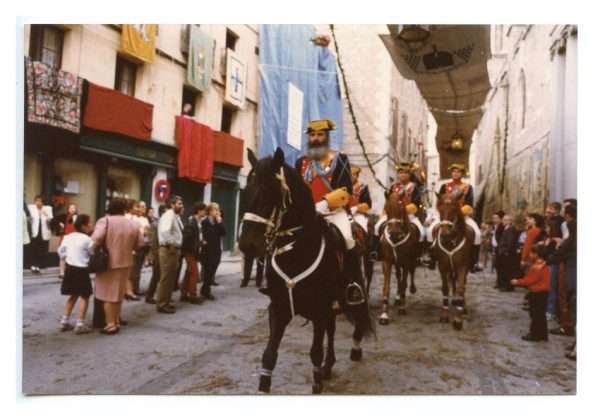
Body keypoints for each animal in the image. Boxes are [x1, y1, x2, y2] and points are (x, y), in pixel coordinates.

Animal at [238, 148, 370, 394]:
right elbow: (269, 355)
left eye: (270, 194)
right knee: (332, 328)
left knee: (357, 315)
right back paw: (329, 366)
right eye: (246, 191)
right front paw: (263, 385)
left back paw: (355, 349)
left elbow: (315, 352)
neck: (296, 252)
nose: (247, 246)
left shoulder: (319, 310)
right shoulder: (279, 308)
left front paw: (317, 382)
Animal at [378, 192, 420, 326]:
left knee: (409, 275)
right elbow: (386, 287)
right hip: (396, 263)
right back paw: (397, 298)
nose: (394, 232)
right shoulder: (387, 262)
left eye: (401, 209)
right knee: (398, 275)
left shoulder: (406, 262)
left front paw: (402, 307)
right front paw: (384, 315)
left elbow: (403, 284)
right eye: (387, 208)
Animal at [432, 191, 474, 332]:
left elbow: (461, 289)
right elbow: (445, 288)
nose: (445, 234)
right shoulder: (443, 266)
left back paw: (462, 306)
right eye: (440, 209)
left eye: (454, 209)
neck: (451, 242)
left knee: (462, 286)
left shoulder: (462, 266)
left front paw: (458, 320)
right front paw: (444, 315)